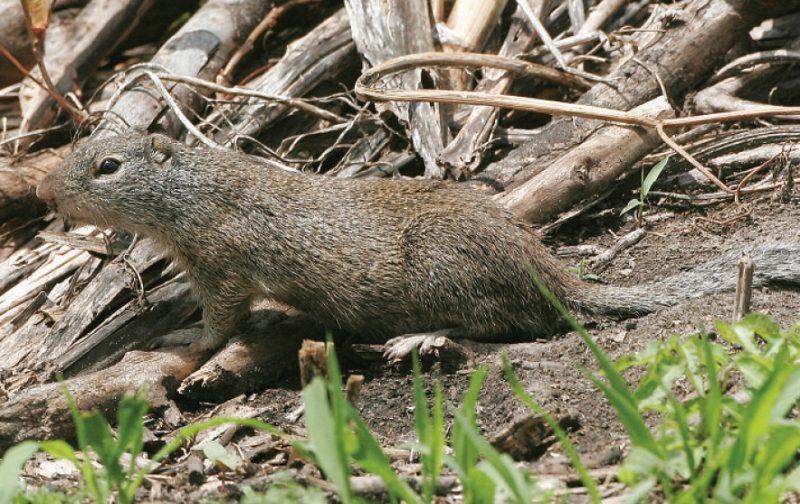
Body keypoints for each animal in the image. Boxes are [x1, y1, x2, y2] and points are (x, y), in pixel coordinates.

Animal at [36, 134, 800, 354]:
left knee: (507, 325)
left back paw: (414, 339)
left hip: (444, 273)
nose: (43, 193)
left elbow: (220, 323)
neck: (194, 189)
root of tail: (556, 275)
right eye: (84, 144)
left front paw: (183, 344)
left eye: (108, 166)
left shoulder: (221, 267)